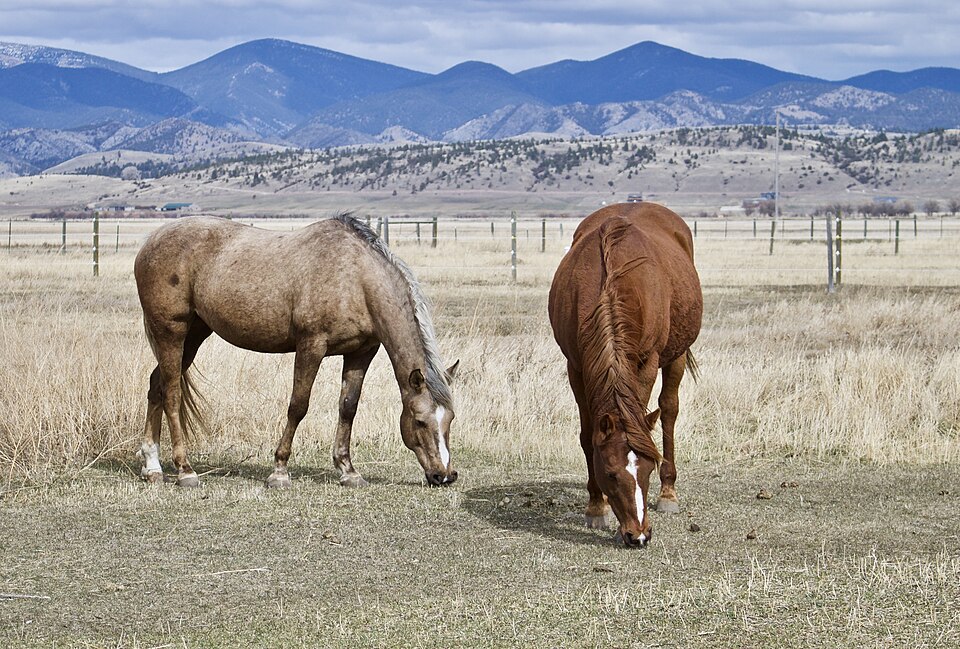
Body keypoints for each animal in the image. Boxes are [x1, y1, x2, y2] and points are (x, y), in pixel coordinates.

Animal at [134, 213, 459, 489]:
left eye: (450, 420)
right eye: (420, 421)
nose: (444, 475)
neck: (355, 278)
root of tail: (150, 241)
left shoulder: (361, 352)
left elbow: (348, 407)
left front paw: (348, 471)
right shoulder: (311, 347)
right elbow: (298, 406)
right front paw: (279, 472)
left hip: (195, 335)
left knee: (156, 386)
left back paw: (152, 467)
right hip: (171, 333)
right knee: (171, 393)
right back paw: (184, 470)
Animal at [548, 203, 702, 546]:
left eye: (647, 469)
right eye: (611, 473)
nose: (639, 535)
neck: (610, 286)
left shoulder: (647, 360)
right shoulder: (575, 365)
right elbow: (587, 434)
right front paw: (596, 507)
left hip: (677, 355)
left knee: (669, 410)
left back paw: (669, 493)